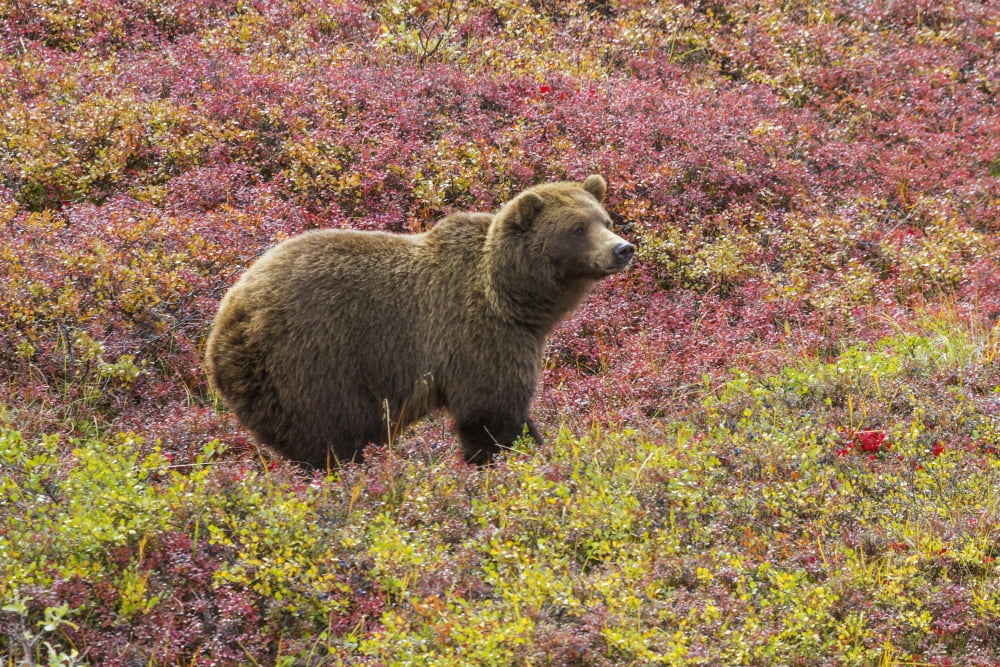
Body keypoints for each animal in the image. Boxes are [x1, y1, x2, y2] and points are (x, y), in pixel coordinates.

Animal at [205, 175, 634, 468]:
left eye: (605, 219)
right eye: (578, 228)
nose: (622, 249)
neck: (513, 299)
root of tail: (226, 316)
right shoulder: (478, 335)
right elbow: (491, 411)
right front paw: (512, 457)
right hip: (311, 362)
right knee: (330, 437)